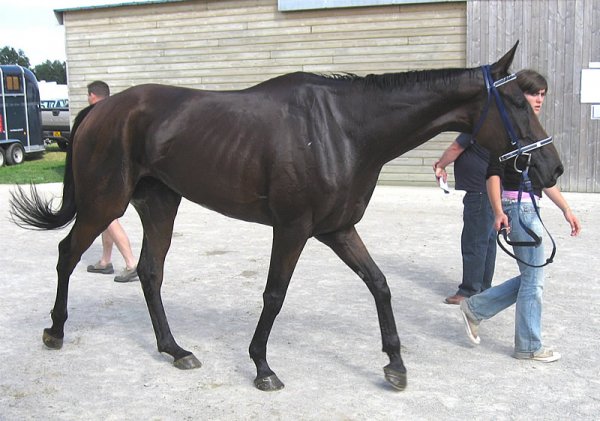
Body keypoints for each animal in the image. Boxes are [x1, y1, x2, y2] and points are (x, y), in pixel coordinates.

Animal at [8, 42, 564, 390]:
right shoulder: (294, 228)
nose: (551, 168)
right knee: (67, 254)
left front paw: (395, 363)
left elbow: (380, 285)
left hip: (160, 203)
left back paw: (174, 349)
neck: (344, 129)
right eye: (518, 103)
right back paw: (55, 331)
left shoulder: (337, 229)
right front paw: (261, 366)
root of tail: (100, 111)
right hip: (106, 202)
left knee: (149, 272)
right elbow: (274, 295)